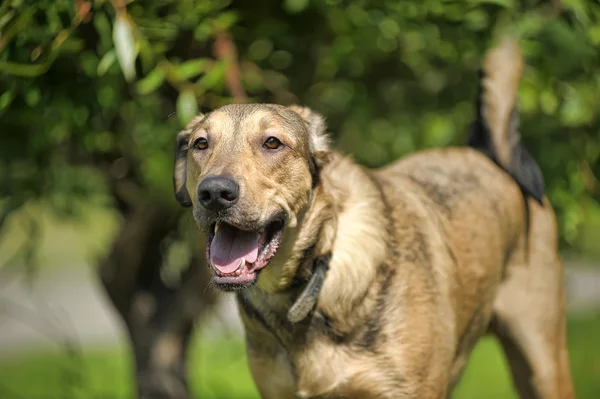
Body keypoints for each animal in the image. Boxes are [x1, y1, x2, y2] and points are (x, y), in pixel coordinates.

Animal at [172, 37, 572, 399]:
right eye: (200, 144)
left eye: (272, 143)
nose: (215, 193)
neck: (316, 271)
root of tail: (489, 154)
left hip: (544, 362)